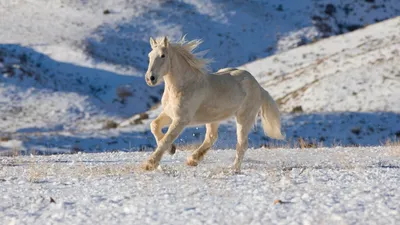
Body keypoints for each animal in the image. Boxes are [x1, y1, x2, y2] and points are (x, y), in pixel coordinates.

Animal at [142, 36, 282, 172]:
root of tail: (259, 86)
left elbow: (166, 139)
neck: (184, 86)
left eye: (163, 55)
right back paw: (193, 160)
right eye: (149, 56)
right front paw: (172, 149)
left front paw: (149, 164)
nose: (150, 78)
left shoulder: (181, 120)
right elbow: (154, 126)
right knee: (212, 137)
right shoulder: (169, 114)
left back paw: (234, 169)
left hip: (244, 117)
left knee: (242, 143)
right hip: (214, 118)